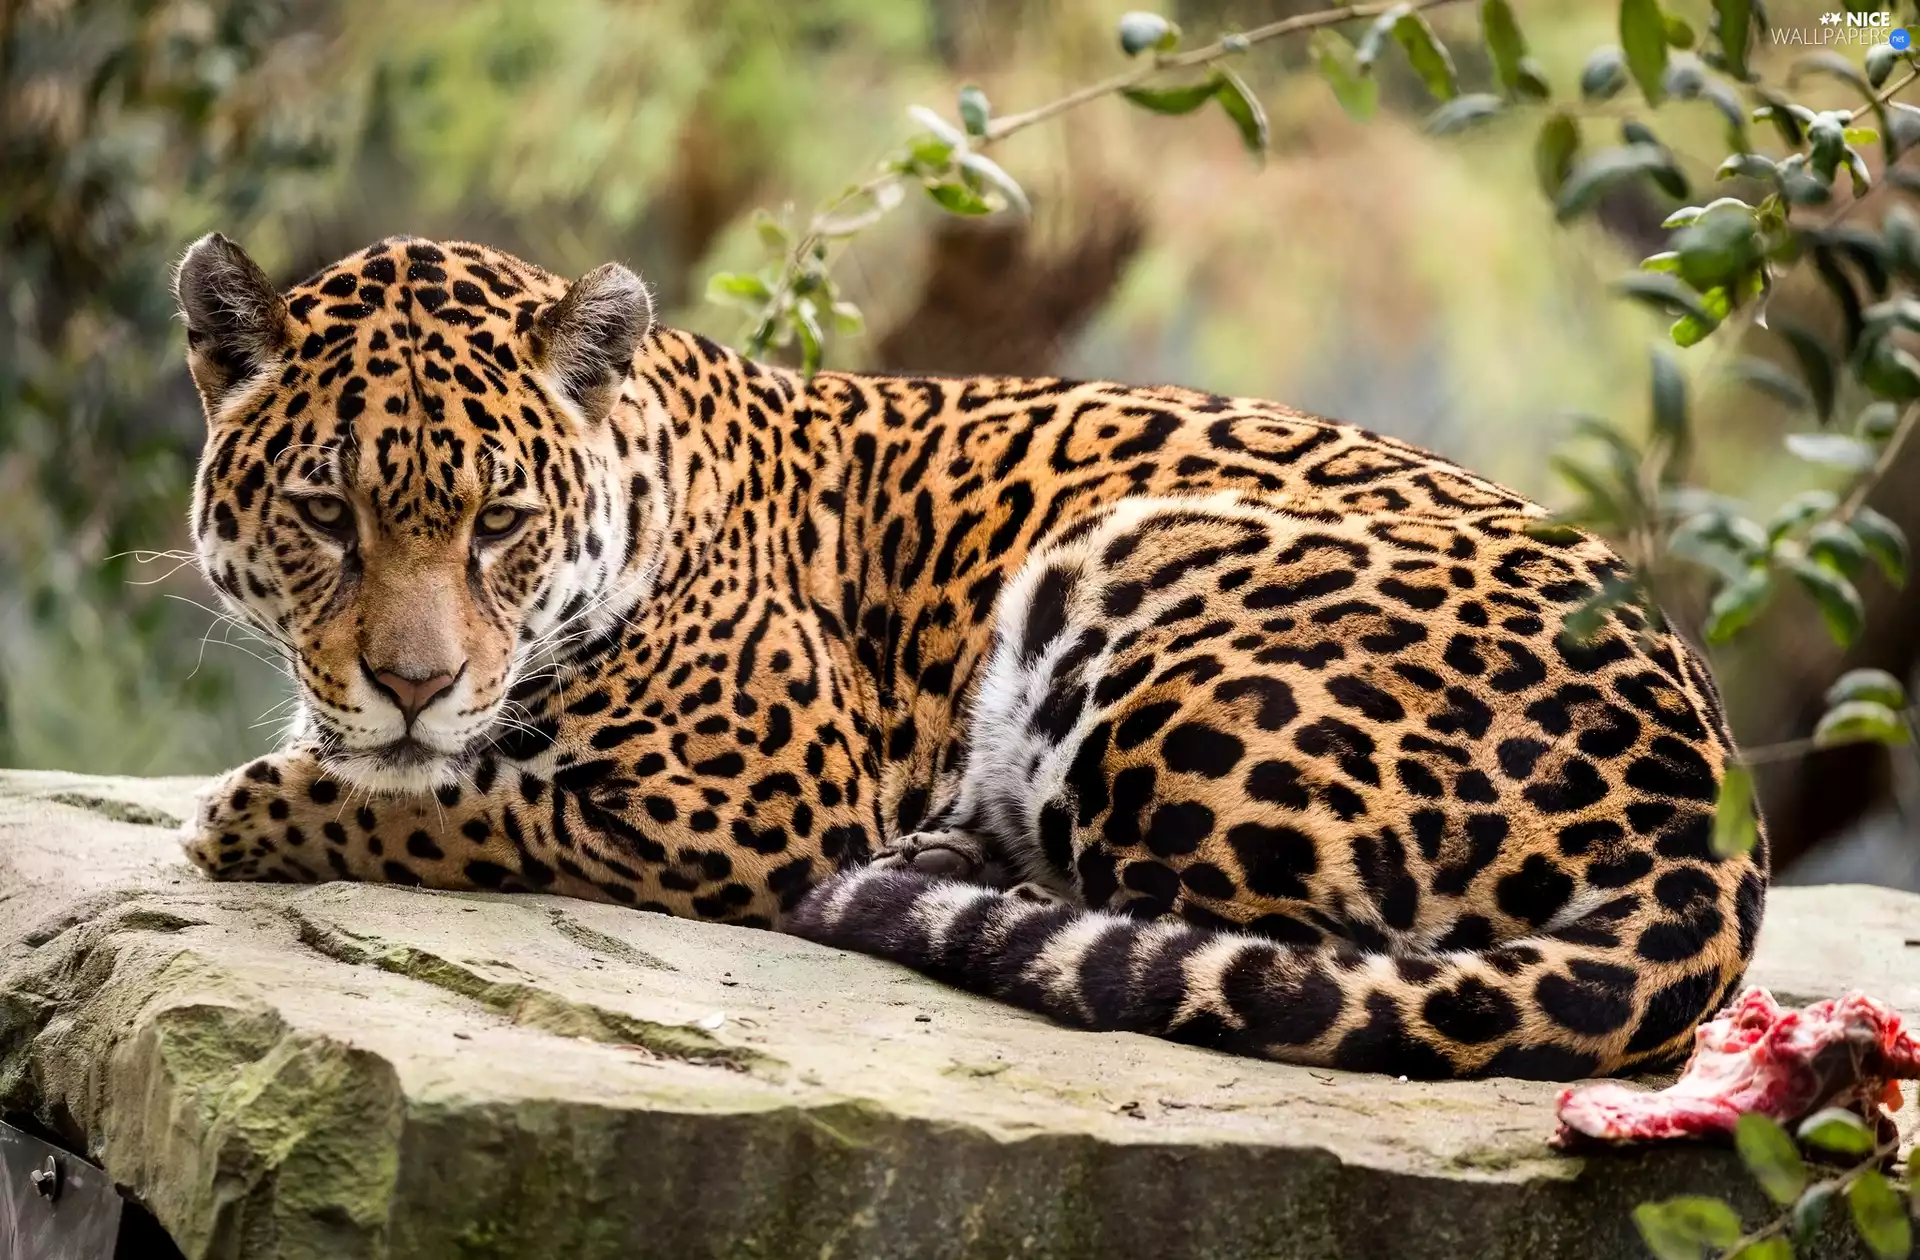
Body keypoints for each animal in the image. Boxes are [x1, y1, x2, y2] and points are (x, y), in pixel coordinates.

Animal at [171, 232, 1766, 1081]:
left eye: (499, 521)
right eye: (325, 512)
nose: (414, 683)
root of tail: (1717, 830)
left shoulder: (749, 805)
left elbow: (477, 805)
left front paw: (254, 812)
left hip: (1143, 576)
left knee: (1248, 940)